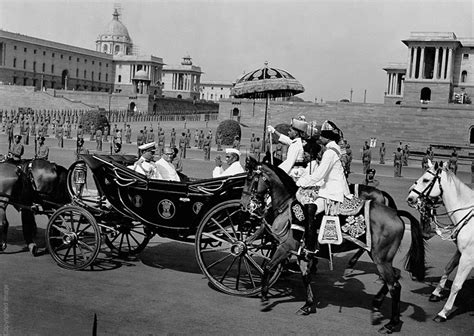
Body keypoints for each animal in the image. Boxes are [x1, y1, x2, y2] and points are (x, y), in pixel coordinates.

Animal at [241, 157, 426, 334]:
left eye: (250, 178)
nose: (244, 204)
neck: (287, 206)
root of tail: (395, 213)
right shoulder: (300, 252)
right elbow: (305, 276)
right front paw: (307, 305)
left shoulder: (285, 247)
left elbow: (268, 267)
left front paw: (264, 296)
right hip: (382, 258)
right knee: (394, 277)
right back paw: (377, 301)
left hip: (380, 259)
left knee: (394, 286)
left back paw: (391, 323)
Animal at [404, 160, 474, 322]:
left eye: (426, 180)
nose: (410, 197)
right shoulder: (461, 251)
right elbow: (448, 268)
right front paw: (436, 292)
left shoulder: (468, 257)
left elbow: (456, 285)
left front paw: (444, 312)